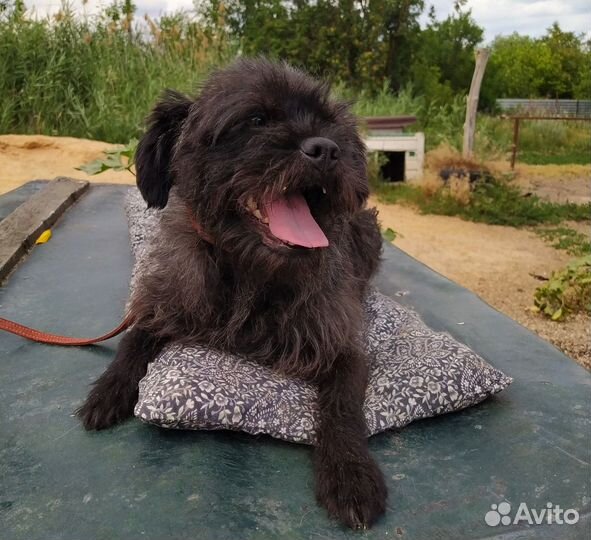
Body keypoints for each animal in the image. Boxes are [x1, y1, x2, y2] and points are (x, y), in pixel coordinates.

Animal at [77, 58, 388, 528]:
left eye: (330, 123)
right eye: (256, 119)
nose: (328, 150)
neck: (248, 272)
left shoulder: (342, 344)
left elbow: (343, 406)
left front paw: (350, 473)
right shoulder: (163, 302)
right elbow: (132, 343)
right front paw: (107, 391)